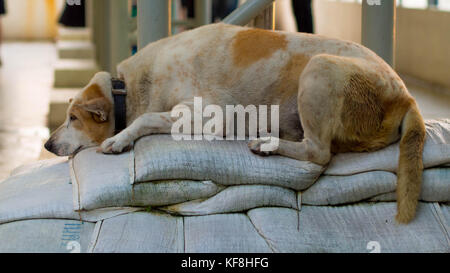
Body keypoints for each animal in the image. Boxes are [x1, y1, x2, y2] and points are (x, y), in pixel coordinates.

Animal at [44, 23, 426, 223]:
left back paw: (267, 144)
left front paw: (119, 139)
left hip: (320, 68)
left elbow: (147, 118)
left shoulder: (211, 113)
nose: (47, 145)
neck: (132, 85)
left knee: (318, 154)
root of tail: (406, 95)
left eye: (73, 118)